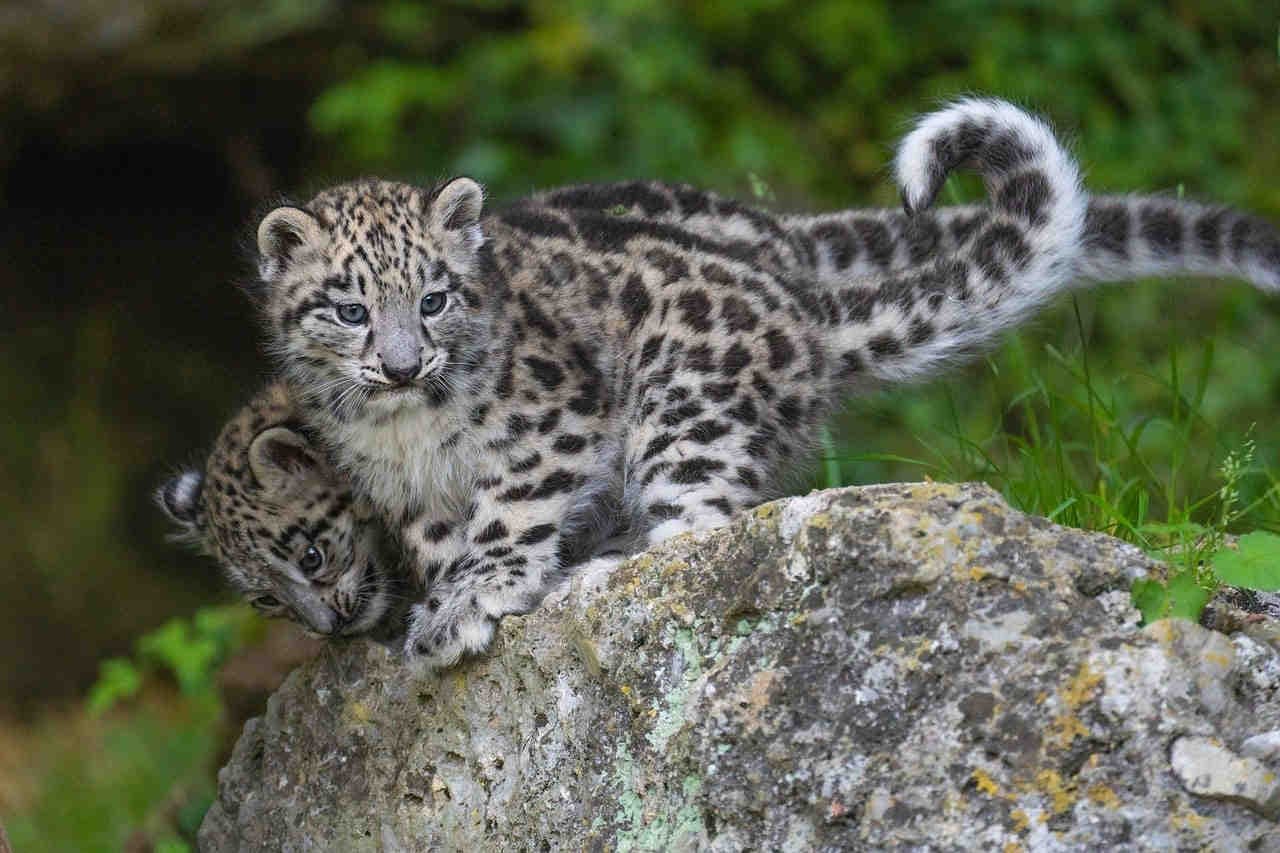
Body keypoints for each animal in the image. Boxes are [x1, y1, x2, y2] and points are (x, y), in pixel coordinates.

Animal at [163, 99, 1280, 663]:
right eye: (350, 308)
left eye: (432, 298)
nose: (402, 361)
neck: (392, 435)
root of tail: (796, 298)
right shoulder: (409, 492)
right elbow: (444, 537)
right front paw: (440, 602)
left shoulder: (548, 421)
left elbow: (508, 511)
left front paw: (472, 598)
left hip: (685, 415)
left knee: (702, 534)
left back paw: (618, 562)